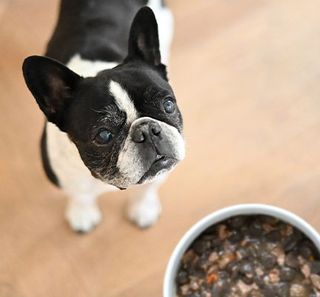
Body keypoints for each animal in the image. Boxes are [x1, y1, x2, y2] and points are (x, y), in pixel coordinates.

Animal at [21, 0, 185, 231]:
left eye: (168, 105)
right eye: (104, 135)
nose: (147, 130)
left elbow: (148, 188)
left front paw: (143, 208)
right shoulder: (64, 176)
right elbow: (79, 194)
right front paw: (82, 213)